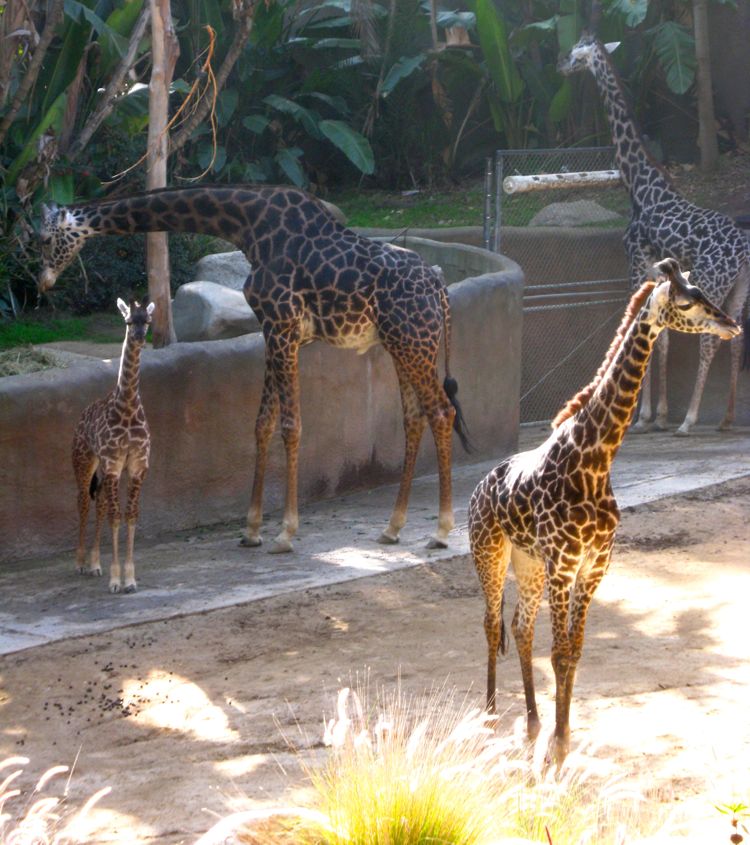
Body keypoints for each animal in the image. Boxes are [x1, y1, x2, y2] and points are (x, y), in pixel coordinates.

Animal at [36, 185, 470, 552]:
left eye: (42, 239)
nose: (43, 282)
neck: (248, 227)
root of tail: (441, 290)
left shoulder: (281, 327)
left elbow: (291, 426)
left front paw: (285, 533)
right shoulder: (274, 332)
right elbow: (262, 423)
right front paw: (252, 529)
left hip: (412, 343)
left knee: (441, 411)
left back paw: (440, 531)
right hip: (402, 344)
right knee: (414, 417)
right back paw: (393, 527)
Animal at [470, 258, 740, 764]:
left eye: (703, 291)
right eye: (687, 302)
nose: (732, 324)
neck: (596, 459)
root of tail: (478, 489)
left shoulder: (595, 563)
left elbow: (574, 652)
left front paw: (561, 741)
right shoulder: (564, 563)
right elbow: (559, 653)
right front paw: (556, 751)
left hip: (528, 562)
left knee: (519, 627)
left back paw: (532, 724)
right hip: (490, 553)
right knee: (492, 624)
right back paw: (490, 718)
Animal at [560, 35, 750, 432]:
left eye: (574, 54)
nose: (560, 66)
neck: (640, 186)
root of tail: (742, 250)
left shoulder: (636, 262)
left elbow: (643, 325)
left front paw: (642, 416)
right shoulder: (659, 273)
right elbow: (660, 337)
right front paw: (657, 413)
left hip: (713, 281)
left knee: (712, 339)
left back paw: (689, 420)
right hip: (740, 285)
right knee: (738, 337)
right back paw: (725, 419)